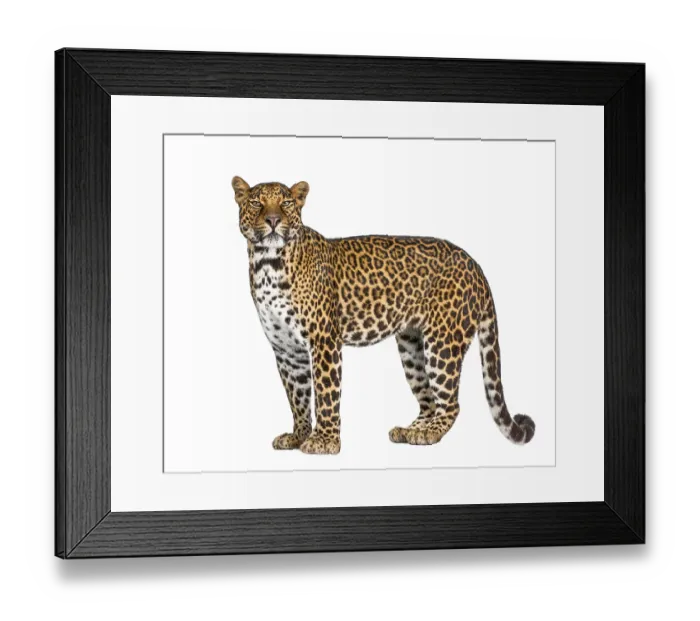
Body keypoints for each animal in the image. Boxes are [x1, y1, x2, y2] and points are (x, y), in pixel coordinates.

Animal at [232, 176, 535, 455]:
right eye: (257, 202)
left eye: (285, 203)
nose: (273, 220)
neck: (267, 264)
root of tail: (476, 265)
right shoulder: (286, 349)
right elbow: (298, 397)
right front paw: (298, 435)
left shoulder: (324, 341)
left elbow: (326, 394)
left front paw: (324, 441)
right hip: (412, 346)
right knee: (429, 401)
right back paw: (411, 430)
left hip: (443, 343)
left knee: (450, 404)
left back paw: (429, 434)